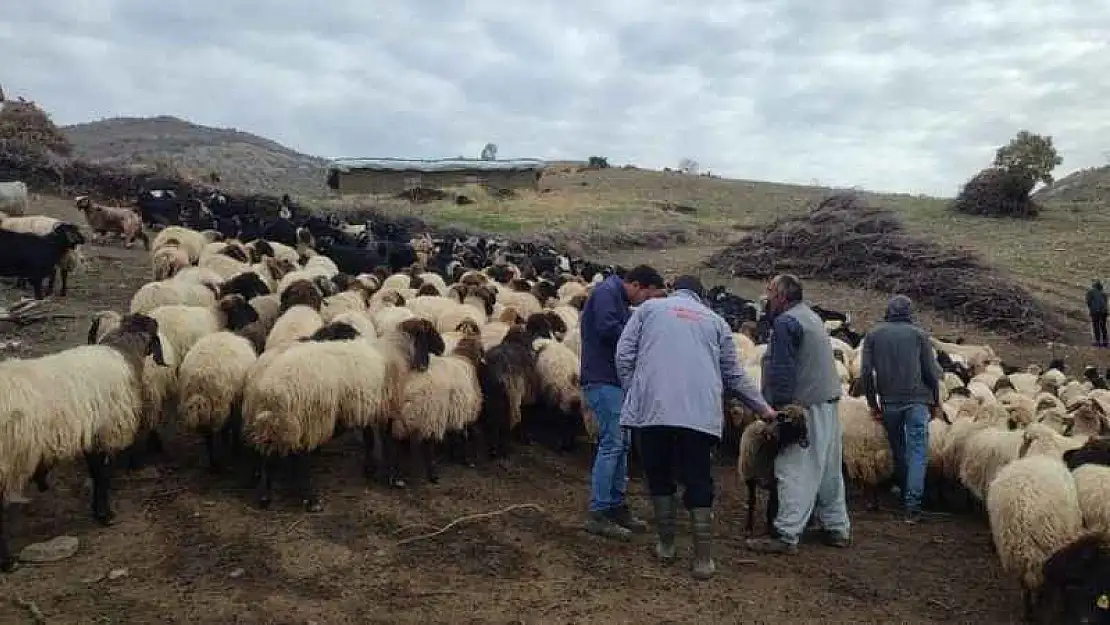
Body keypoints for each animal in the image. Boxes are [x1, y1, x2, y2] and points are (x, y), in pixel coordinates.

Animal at [0, 315, 166, 572]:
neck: (123, 354)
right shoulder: (106, 431)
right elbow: (103, 476)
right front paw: (106, 515)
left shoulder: (92, 435)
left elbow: (96, 474)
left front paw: (97, 511)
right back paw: (7, 562)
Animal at [175, 333, 257, 470]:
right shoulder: (235, 402)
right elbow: (233, 426)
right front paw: (234, 447)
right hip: (222, 405)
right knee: (222, 429)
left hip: (209, 411)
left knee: (208, 436)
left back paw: (212, 462)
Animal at [245, 317, 444, 508]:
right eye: (429, 330)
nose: (442, 347)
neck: (396, 352)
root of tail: (272, 388)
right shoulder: (386, 407)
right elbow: (387, 443)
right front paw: (395, 478)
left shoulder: (368, 407)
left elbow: (369, 440)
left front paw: (369, 469)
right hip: (309, 418)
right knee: (300, 458)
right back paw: (312, 500)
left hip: (278, 422)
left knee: (270, 454)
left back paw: (265, 496)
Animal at [990, 455, 1083, 621]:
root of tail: (1022, 510)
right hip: (1047, 546)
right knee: (1044, 581)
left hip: (1013, 550)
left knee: (1024, 584)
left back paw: (1028, 613)